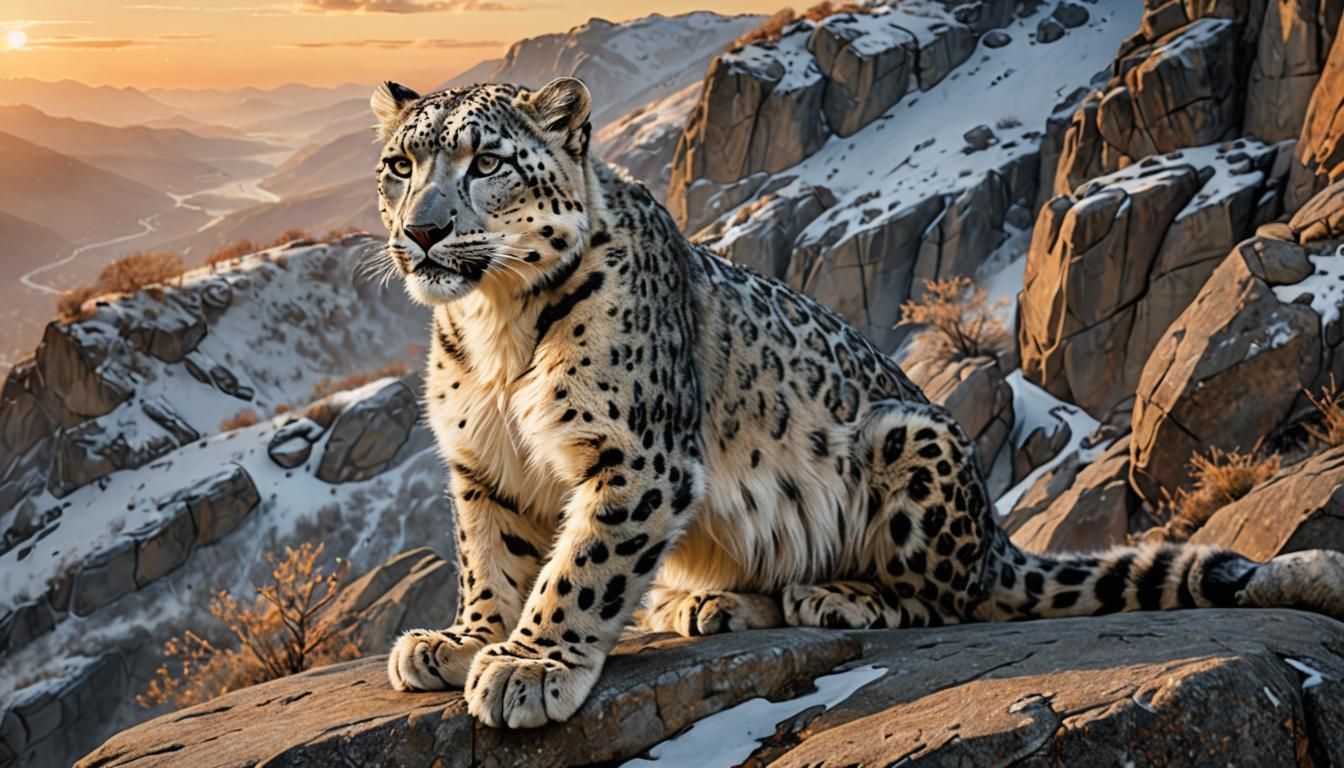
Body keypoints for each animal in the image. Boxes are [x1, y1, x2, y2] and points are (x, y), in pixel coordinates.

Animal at [368, 76, 1344, 729]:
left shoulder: (635, 454)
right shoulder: (483, 465)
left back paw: (835, 599)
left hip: (914, 445)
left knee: (946, 599)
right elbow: (491, 557)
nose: (422, 230)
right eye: (399, 165)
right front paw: (462, 640)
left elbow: (582, 567)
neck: (495, 331)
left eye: (487, 161)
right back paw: (707, 606)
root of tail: (994, 534)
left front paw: (528, 666)